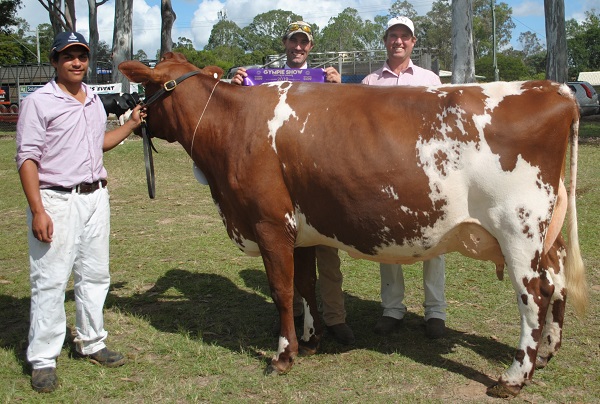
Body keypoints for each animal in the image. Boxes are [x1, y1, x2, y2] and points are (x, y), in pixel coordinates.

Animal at [119, 51, 588, 398]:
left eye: (145, 87)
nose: (127, 111)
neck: (233, 129)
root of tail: (554, 88)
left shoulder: (269, 223)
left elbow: (282, 291)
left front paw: (283, 356)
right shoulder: (300, 230)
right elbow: (306, 285)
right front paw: (311, 340)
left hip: (518, 228)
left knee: (534, 296)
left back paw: (513, 378)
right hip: (546, 232)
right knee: (557, 282)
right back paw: (548, 353)